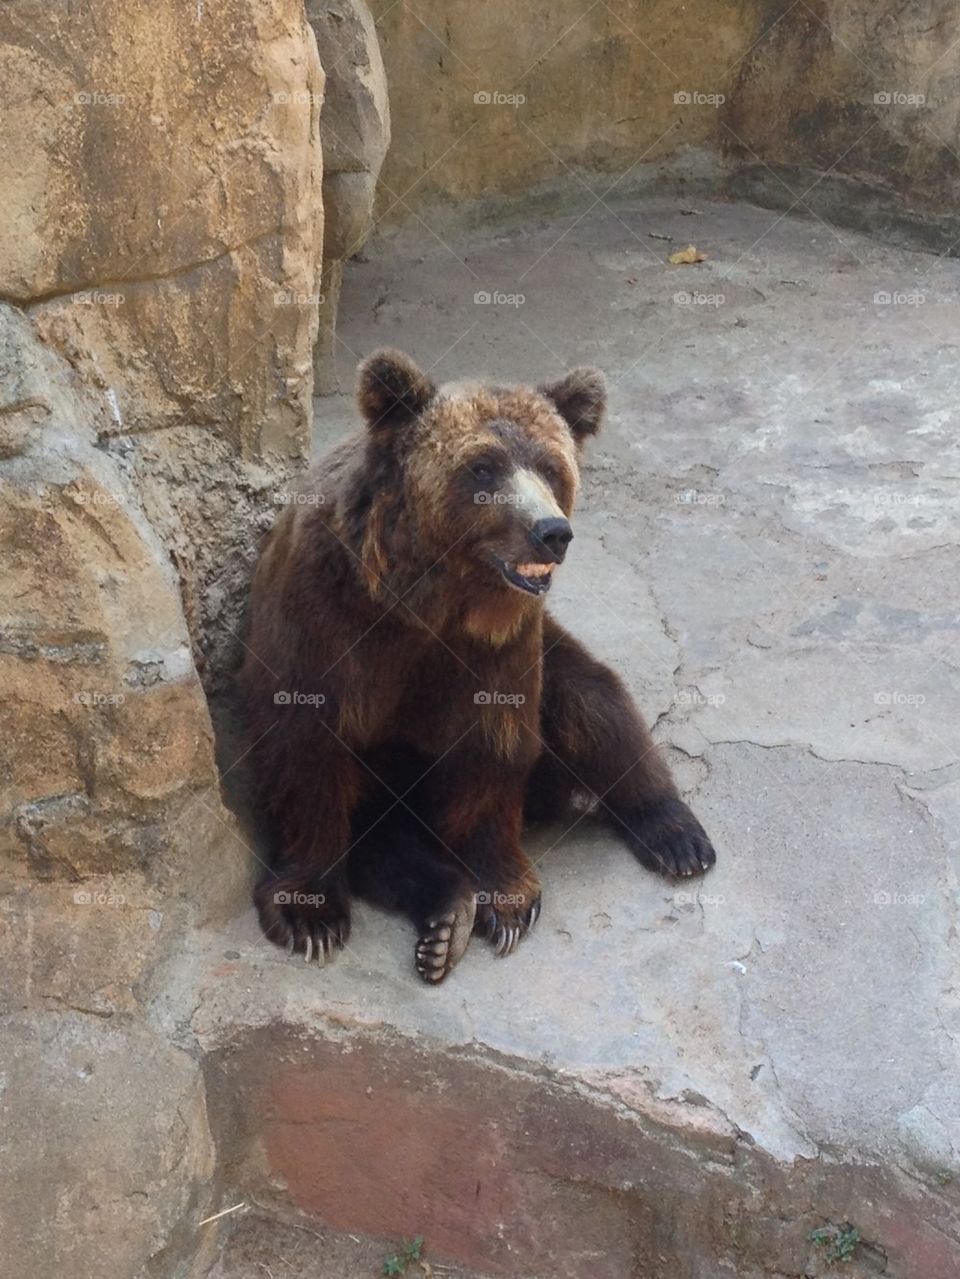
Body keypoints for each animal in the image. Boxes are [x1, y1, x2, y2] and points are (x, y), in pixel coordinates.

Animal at [237, 349, 717, 982]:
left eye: (551, 467)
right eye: (483, 468)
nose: (551, 531)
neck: (422, 601)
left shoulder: (497, 644)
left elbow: (493, 743)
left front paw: (507, 900)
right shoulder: (324, 620)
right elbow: (305, 747)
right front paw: (309, 916)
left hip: (554, 660)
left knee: (594, 703)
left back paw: (677, 836)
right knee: (385, 848)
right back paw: (446, 915)